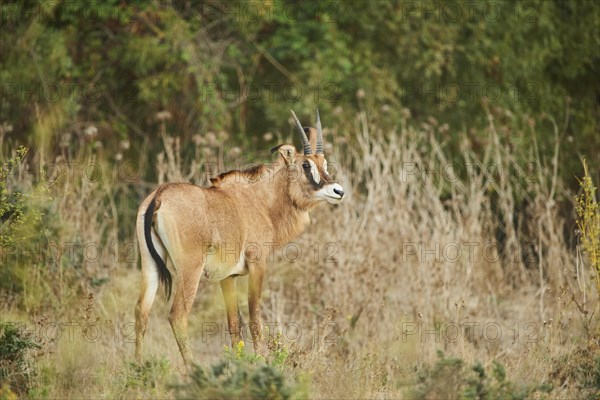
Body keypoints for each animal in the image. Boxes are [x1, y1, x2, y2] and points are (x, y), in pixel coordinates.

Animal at [134, 110, 344, 366]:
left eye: (324, 163)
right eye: (306, 165)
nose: (338, 191)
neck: (261, 201)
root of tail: (159, 196)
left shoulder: (228, 276)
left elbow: (234, 325)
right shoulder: (257, 264)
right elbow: (254, 319)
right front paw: (262, 361)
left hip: (150, 265)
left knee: (141, 312)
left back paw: (139, 366)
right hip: (190, 269)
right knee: (178, 316)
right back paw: (192, 368)